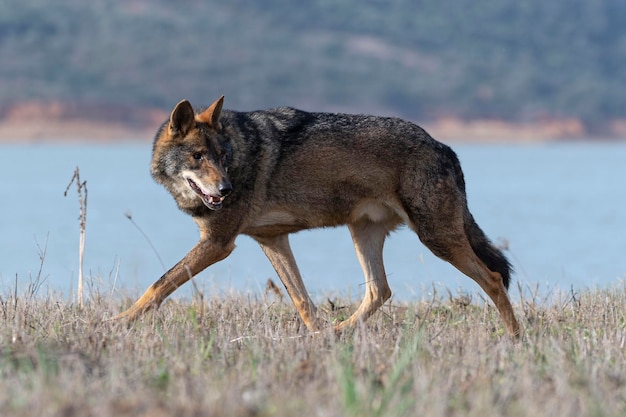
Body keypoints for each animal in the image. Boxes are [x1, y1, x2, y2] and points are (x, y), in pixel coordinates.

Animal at [114, 96, 520, 336]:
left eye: (223, 157)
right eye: (199, 157)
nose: (226, 189)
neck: (241, 151)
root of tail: (445, 146)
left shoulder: (218, 244)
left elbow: (159, 285)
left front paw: (117, 322)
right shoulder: (272, 239)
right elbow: (302, 300)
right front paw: (316, 337)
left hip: (436, 238)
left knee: (493, 278)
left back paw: (514, 338)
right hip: (364, 235)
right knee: (380, 291)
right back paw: (337, 332)